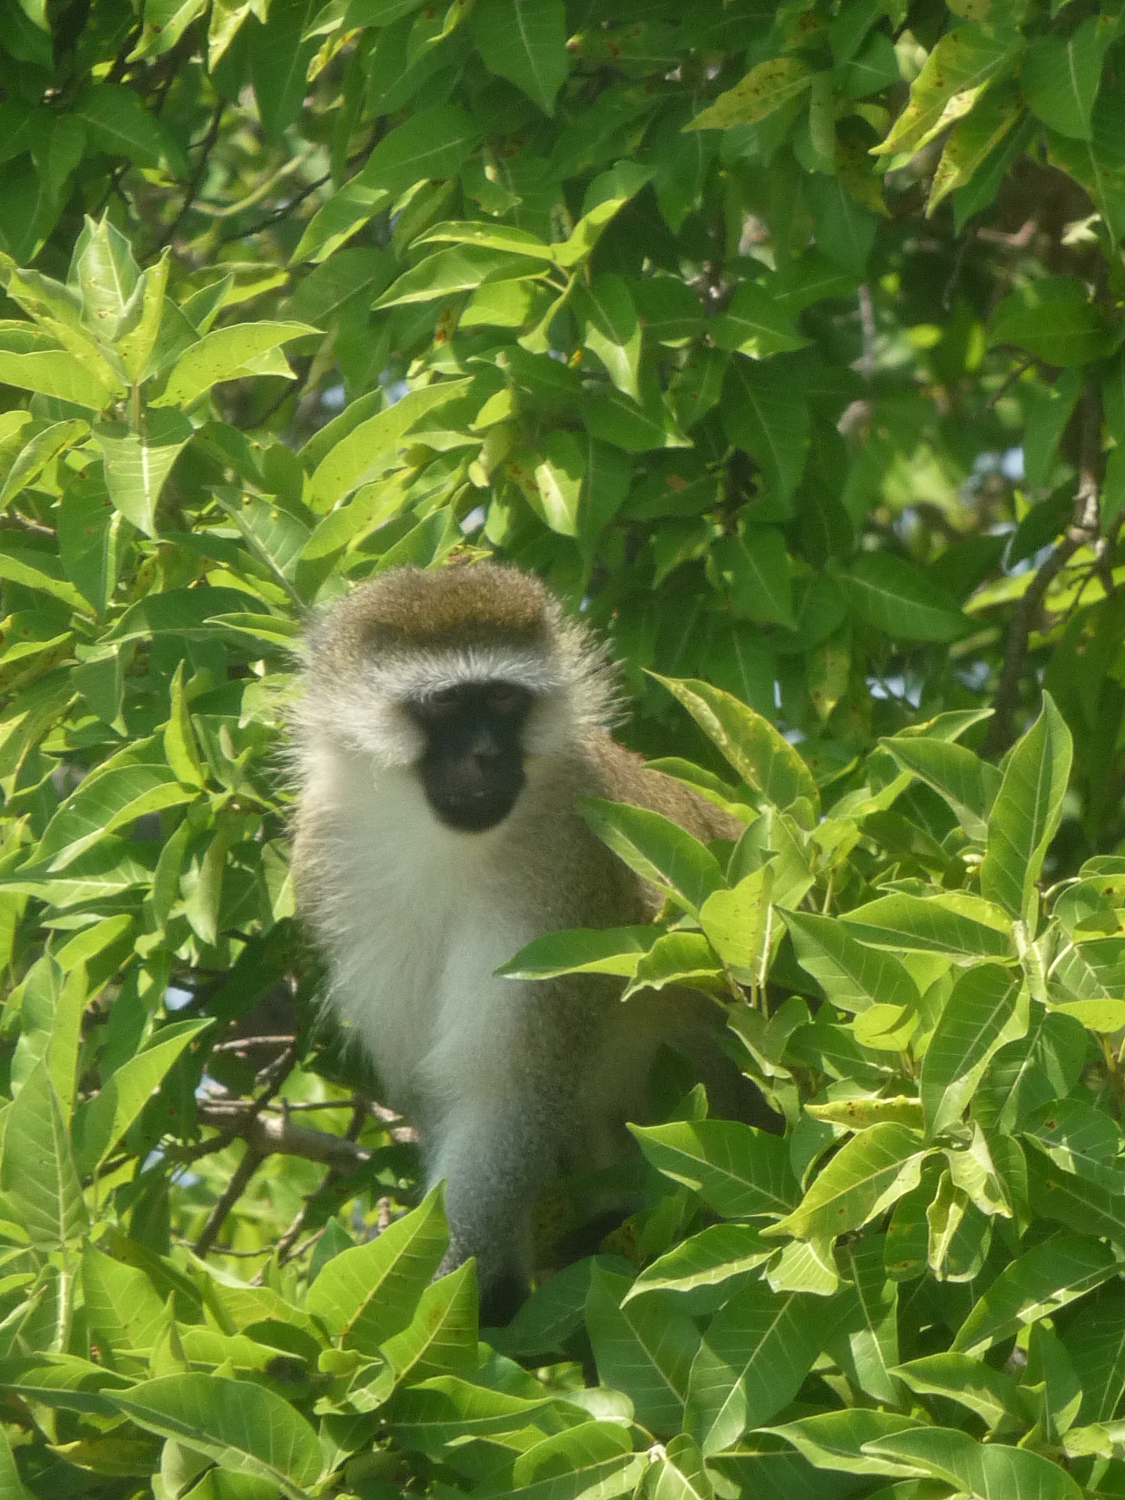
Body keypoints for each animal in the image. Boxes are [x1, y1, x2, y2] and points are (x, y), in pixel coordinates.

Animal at [291, 561, 773, 1324]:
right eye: (446, 704)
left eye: (503, 698)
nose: (487, 753)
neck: (431, 837)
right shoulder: (326, 855)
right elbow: (439, 1092)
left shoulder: (565, 870)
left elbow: (503, 1094)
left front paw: (440, 1300)